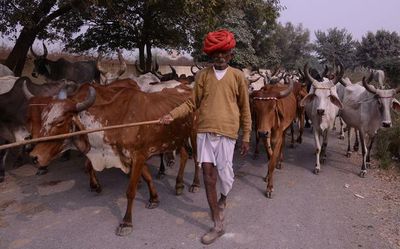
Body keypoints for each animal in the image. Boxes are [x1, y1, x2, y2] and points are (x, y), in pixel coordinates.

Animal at [27, 80, 199, 235]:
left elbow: (130, 191)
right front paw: (154, 199)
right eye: (43, 117)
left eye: (60, 121)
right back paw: (179, 184)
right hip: (177, 138)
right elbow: (148, 177)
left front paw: (126, 223)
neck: (118, 121)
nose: (34, 156)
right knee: (184, 155)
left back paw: (195, 184)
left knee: (197, 159)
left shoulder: (138, 156)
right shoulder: (135, 157)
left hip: (194, 134)